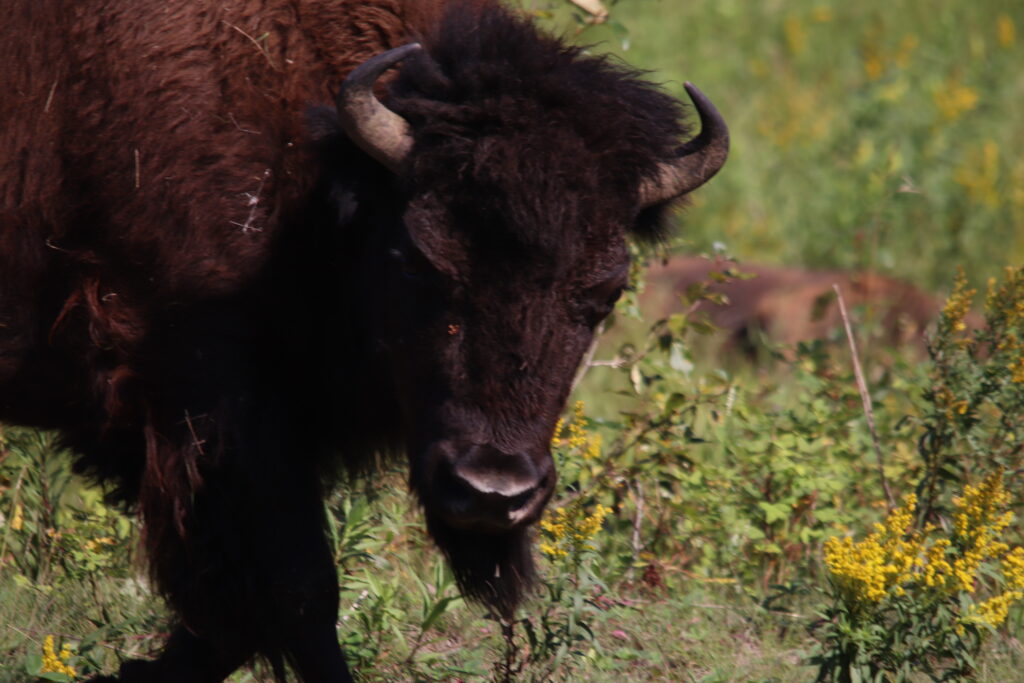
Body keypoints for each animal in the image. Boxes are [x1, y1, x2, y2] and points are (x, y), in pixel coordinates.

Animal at [0, 0, 727, 680]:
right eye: (417, 259)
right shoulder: (211, 410)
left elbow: (235, 618)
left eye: (605, 292)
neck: (319, 175)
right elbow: (297, 591)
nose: (492, 490)